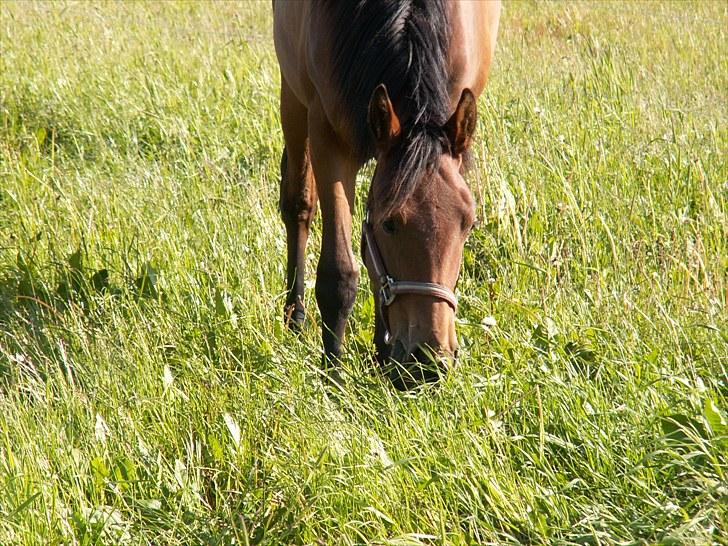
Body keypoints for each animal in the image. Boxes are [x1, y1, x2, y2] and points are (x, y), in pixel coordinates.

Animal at [272, 2, 500, 388]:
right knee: (298, 205)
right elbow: (338, 272)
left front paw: (383, 352)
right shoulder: (327, 136)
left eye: (468, 224)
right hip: (293, 98)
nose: (429, 361)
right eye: (390, 224)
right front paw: (333, 376)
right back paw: (295, 318)